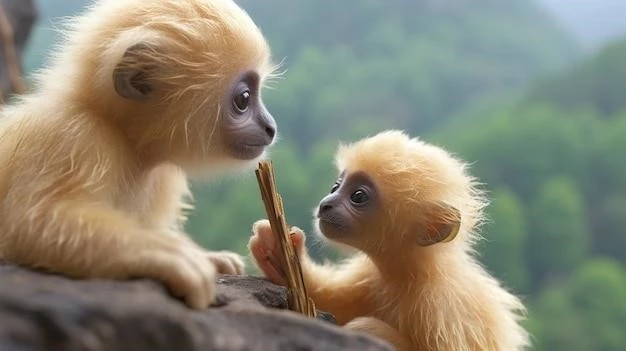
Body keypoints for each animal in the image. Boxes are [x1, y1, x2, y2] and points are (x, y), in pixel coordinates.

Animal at [249, 131, 528, 351]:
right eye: (335, 186)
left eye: (358, 196)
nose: (326, 204)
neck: (407, 277)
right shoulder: (372, 278)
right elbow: (333, 304)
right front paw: (276, 252)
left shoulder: (442, 311)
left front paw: (369, 331)